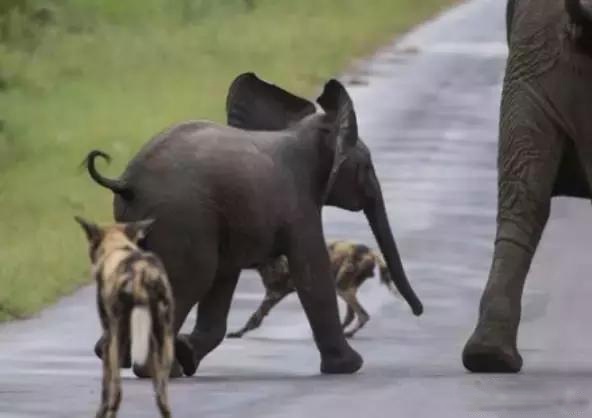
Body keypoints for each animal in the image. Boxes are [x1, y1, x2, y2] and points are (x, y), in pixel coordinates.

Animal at [75, 216, 175, 418]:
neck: (118, 247)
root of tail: (141, 272)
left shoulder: (108, 337)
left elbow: (105, 390)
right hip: (165, 341)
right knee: (162, 399)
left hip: (115, 343)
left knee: (117, 393)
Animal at [229, 238, 400, 340]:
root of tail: (371, 251)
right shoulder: (273, 294)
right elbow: (256, 318)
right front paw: (239, 332)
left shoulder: (274, 293)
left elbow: (255, 317)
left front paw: (237, 333)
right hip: (345, 288)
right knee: (352, 315)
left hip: (342, 288)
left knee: (363, 315)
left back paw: (344, 334)